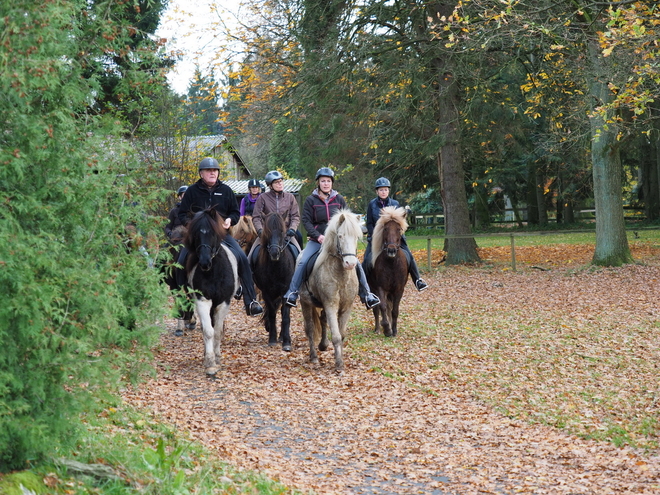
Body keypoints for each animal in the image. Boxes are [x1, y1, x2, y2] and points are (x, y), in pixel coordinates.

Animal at [183, 208, 240, 376]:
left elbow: (218, 331)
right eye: (196, 234)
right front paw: (209, 362)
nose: (204, 262)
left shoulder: (223, 303)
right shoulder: (202, 300)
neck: (213, 272)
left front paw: (217, 357)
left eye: (213, 233)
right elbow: (208, 331)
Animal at [251, 213, 296, 352]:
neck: (277, 267)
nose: (274, 253)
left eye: (282, 232)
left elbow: (285, 316)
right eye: (267, 232)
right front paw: (272, 339)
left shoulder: (286, 291)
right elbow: (271, 313)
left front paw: (286, 342)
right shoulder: (266, 292)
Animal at [298, 207, 360, 374]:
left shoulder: (346, 307)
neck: (340, 275)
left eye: (357, 237)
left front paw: (339, 359)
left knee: (322, 320)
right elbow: (337, 336)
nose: (350, 264)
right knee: (310, 329)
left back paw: (323, 345)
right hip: (305, 302)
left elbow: (341, 334)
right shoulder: (331, 304)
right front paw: (339, 364)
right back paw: (313, 357)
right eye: (340, 236)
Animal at [366, 205, 408, 338]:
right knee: (377, 309)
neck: (391, 264)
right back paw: (378, 329)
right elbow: (382, 307)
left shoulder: (399, 290)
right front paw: (387, 329)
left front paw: (393, 330)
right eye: (385, 229)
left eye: (399, 229)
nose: (391, 250)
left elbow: (394, 310)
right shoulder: (381, 288)